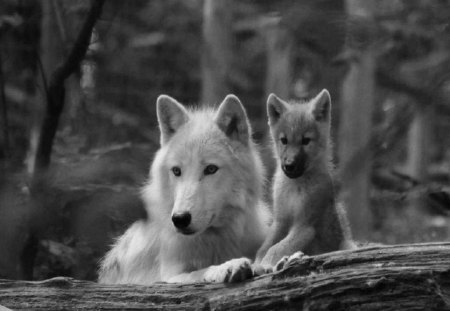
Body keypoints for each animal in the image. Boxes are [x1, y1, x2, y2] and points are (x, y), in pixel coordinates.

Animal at [98, 94, 268, 286]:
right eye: (176, 171)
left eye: (211, 169)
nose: (180, 219)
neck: (216, 239)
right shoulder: (168, 277)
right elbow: (199, 271)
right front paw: (227, 266)